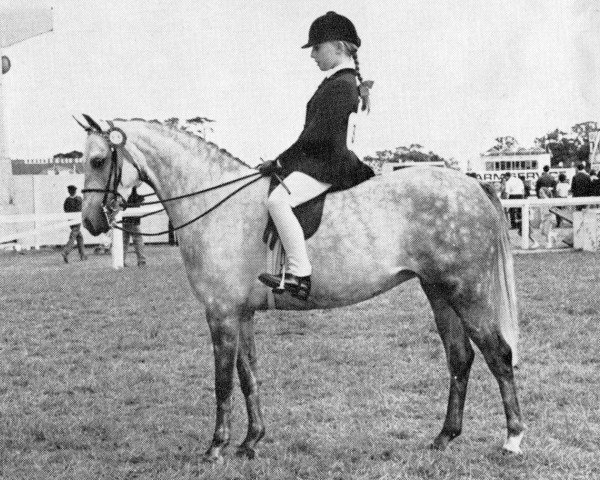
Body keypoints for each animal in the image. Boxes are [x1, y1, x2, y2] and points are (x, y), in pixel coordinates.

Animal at [81, 116, 524, 462]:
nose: (90, 222)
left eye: (98, 160)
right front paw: (251, 442)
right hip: (439, 292)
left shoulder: (220, 313)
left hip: (468, 291)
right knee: (460, 358)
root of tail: (474, 186)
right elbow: (248, 375)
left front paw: (216, 448)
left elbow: (222, 381)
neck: (217, 206)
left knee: (498, 355)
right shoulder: (241, 314)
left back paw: (513, 440)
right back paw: (444, 437)